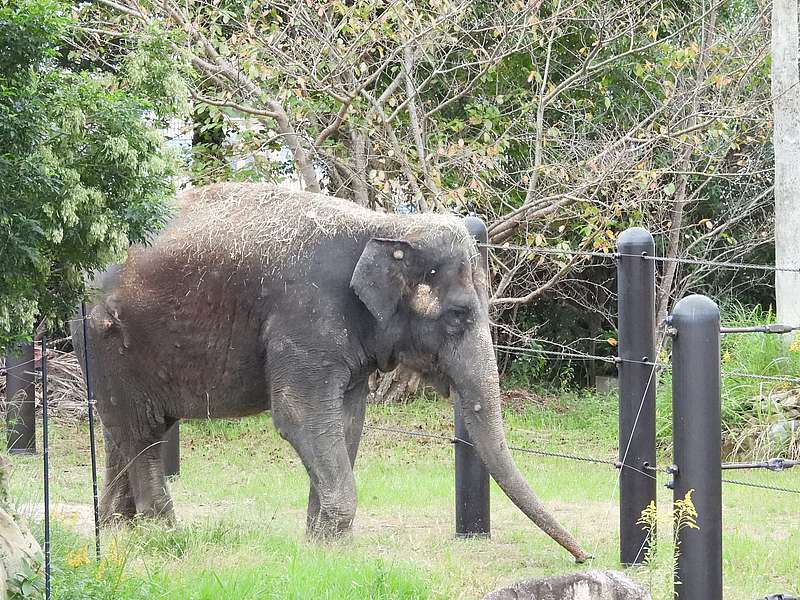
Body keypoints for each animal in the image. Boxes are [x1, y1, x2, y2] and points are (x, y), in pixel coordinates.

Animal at [73, 183, 588, 564]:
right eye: (459, 315)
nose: (586, 557)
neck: (385, 226)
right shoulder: (305, 316)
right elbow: (301, 416)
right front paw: (329, 546)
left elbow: (346, 421)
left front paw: (322, 546)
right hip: (107, 340)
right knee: (141, 432)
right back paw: (162, 534)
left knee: (132, 429)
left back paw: (117, 531)